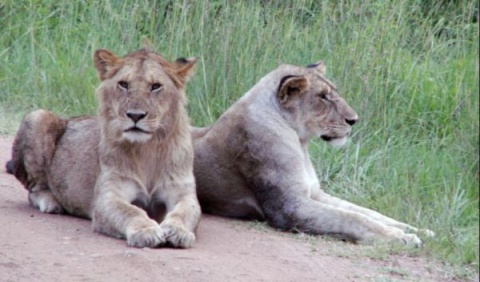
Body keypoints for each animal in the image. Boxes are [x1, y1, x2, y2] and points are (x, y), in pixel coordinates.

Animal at [9, 46, 201, 249]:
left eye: (155, 86)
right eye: (123, 84)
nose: (135, 115)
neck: (146, 148)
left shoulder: (182, 192)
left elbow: (184, 212)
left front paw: (178, 232)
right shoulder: (106, 197)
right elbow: (131, 211)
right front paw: (146, 231)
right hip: (38, 116)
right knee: (33, 190)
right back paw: (51, 202)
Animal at [191, 60, 436, 246]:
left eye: (333, 92)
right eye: (322, 96)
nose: (354, 120)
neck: (301, 142)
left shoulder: (316, 193)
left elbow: (369, 213)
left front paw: (419, 230)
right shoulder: (289, 207)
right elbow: (352, 217)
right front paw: (402, 238)